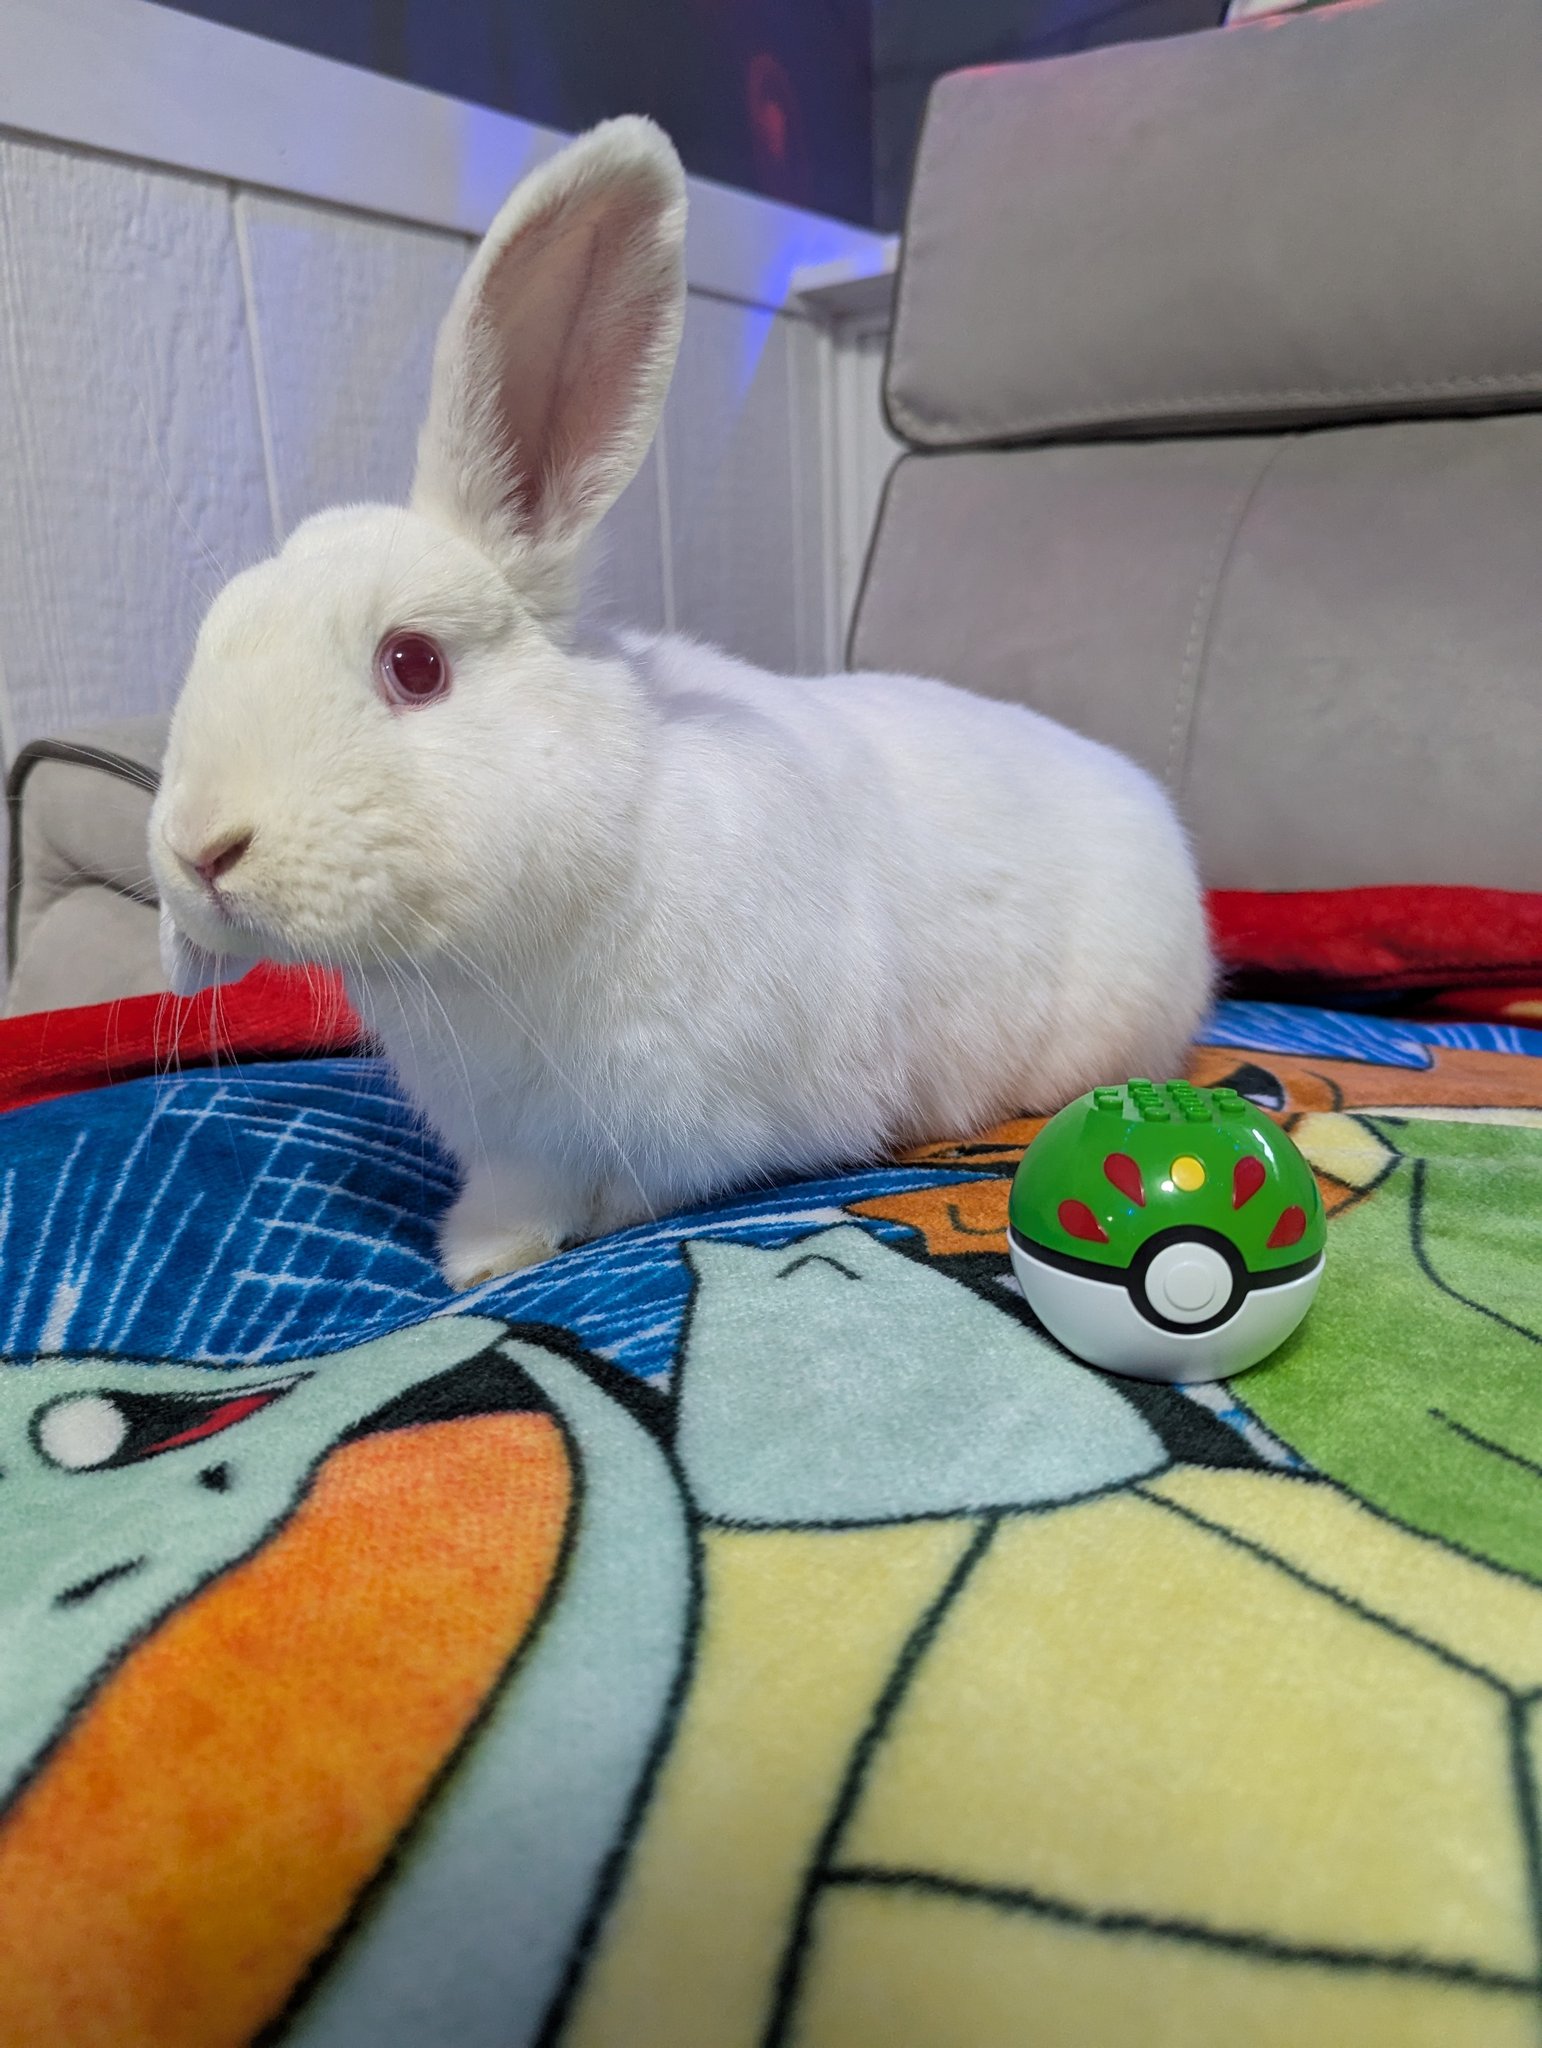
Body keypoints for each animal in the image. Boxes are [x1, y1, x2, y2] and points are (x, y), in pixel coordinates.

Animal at [149, 116, 1213, 1290]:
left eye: (414, 664)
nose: (199, 852)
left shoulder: (692, 1129)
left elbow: (628, 1195)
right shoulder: (513, 1144)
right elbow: (513, 1200)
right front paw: (480, 1258)